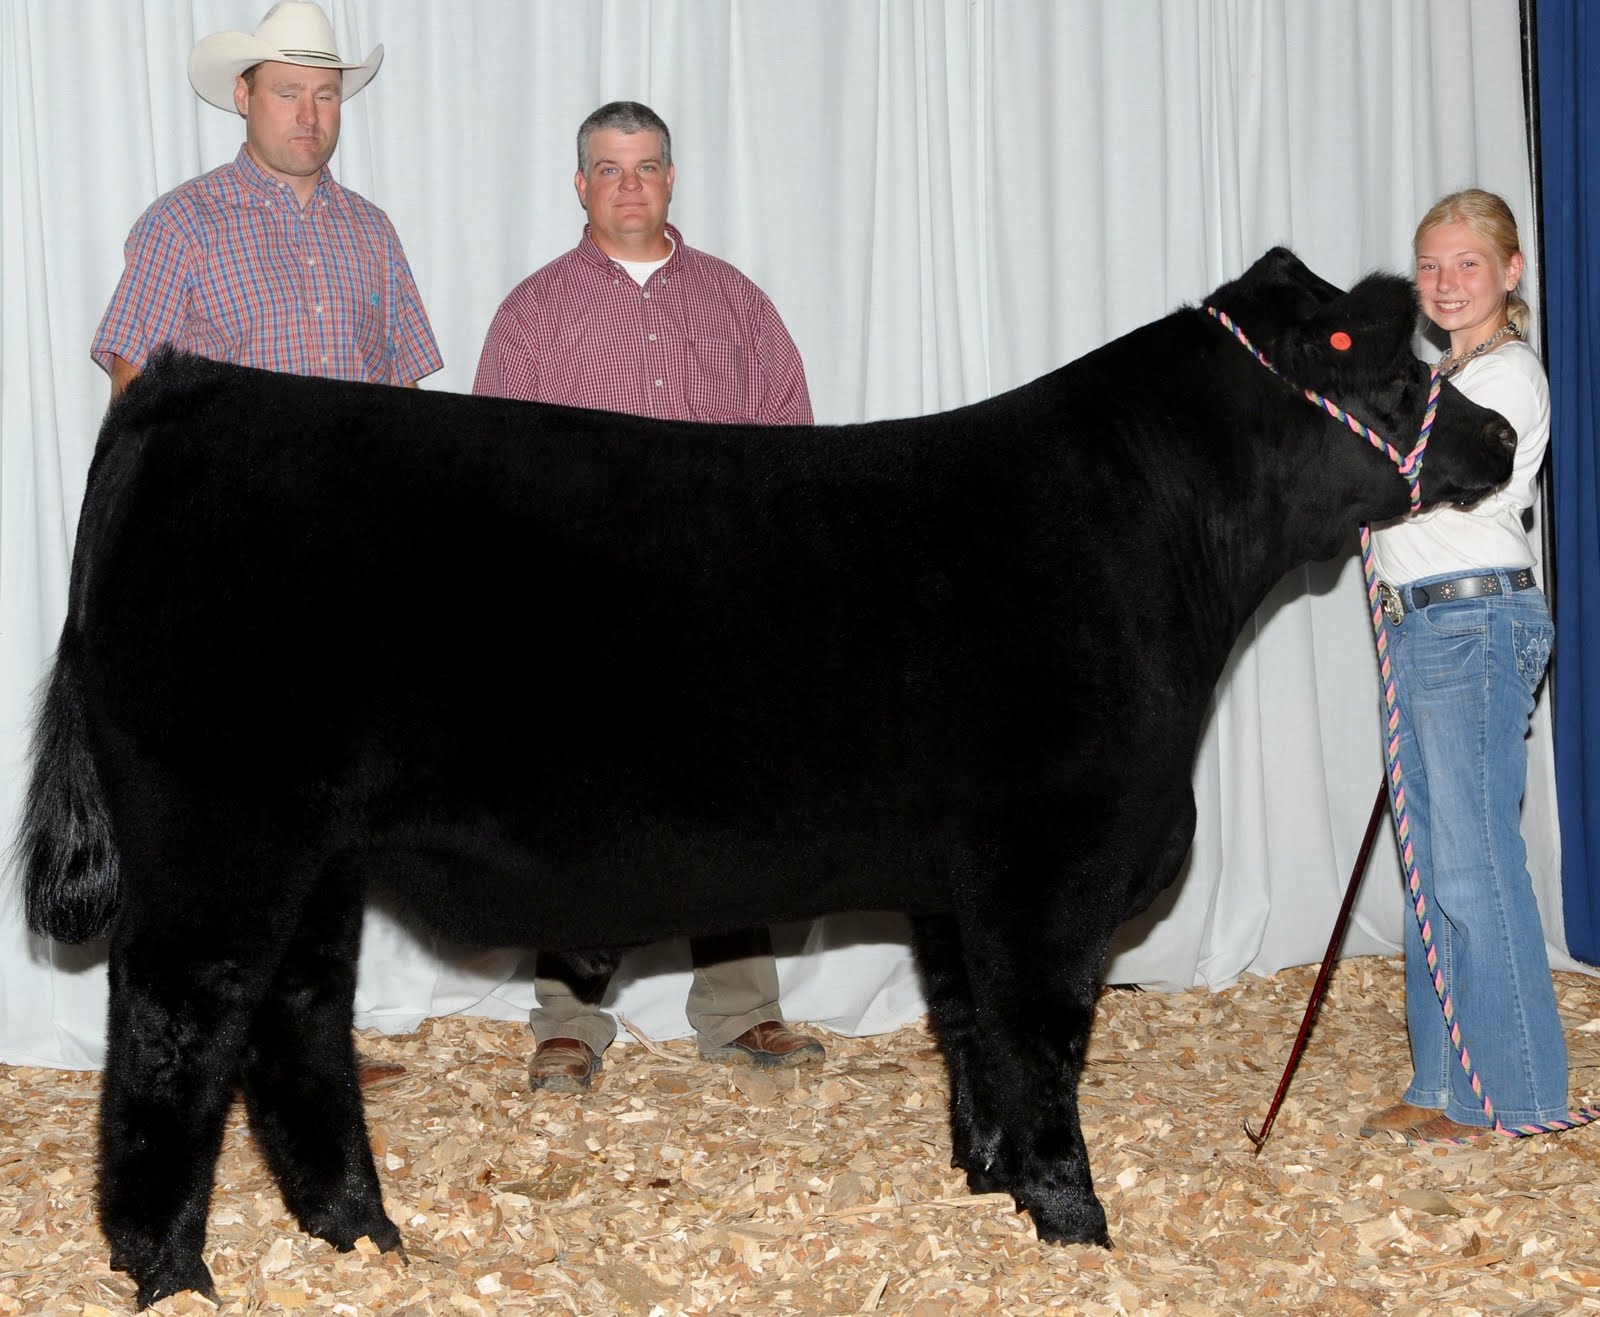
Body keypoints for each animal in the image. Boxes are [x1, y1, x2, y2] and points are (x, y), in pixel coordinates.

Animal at [19, 248, 1515, 1308]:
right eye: (1377, 365)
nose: (1499, 441)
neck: (1153, 543)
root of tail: (188, 383)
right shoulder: (1050, 867)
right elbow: (1042, 1044)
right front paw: (1076, 1221)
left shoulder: (959, 882)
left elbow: (973, 1037)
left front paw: (990, 1191)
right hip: (224, 837)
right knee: (176, 1027)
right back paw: (171, 1271)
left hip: (314, 854)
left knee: (295, 1021)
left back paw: (359, 1235)